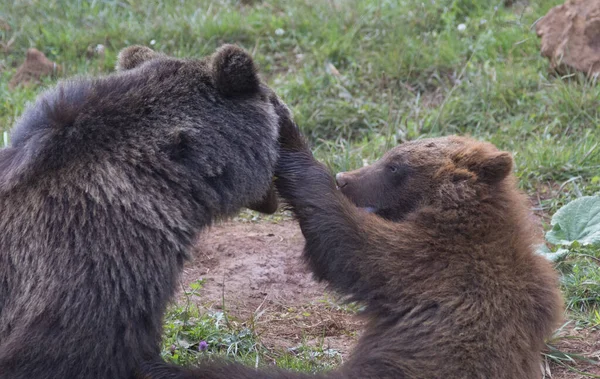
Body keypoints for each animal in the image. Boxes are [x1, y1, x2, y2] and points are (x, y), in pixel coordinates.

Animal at [143, 119, 564, 379]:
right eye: (391, 154)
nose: (346, 178)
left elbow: (346, 244)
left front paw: (291, 139)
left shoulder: (429, 262)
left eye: (395, 166)